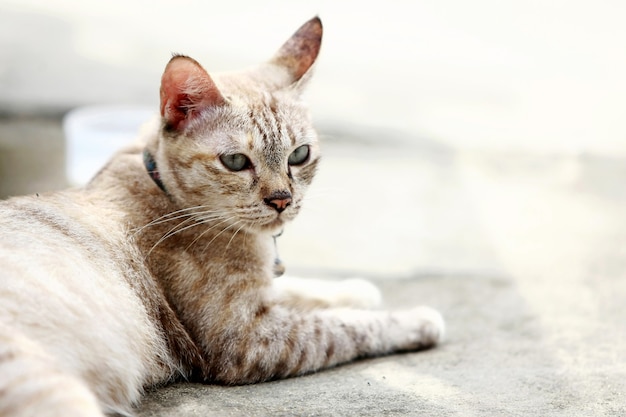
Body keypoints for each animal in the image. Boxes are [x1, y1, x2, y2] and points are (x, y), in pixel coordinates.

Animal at [0, 17, 444, 416]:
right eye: (235, 162)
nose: (282, 200)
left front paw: (358, 289)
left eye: (299, 155)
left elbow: (303, 287)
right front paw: (418, 320)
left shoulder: (265, 295)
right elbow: (348, 326)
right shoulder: (248, 339)